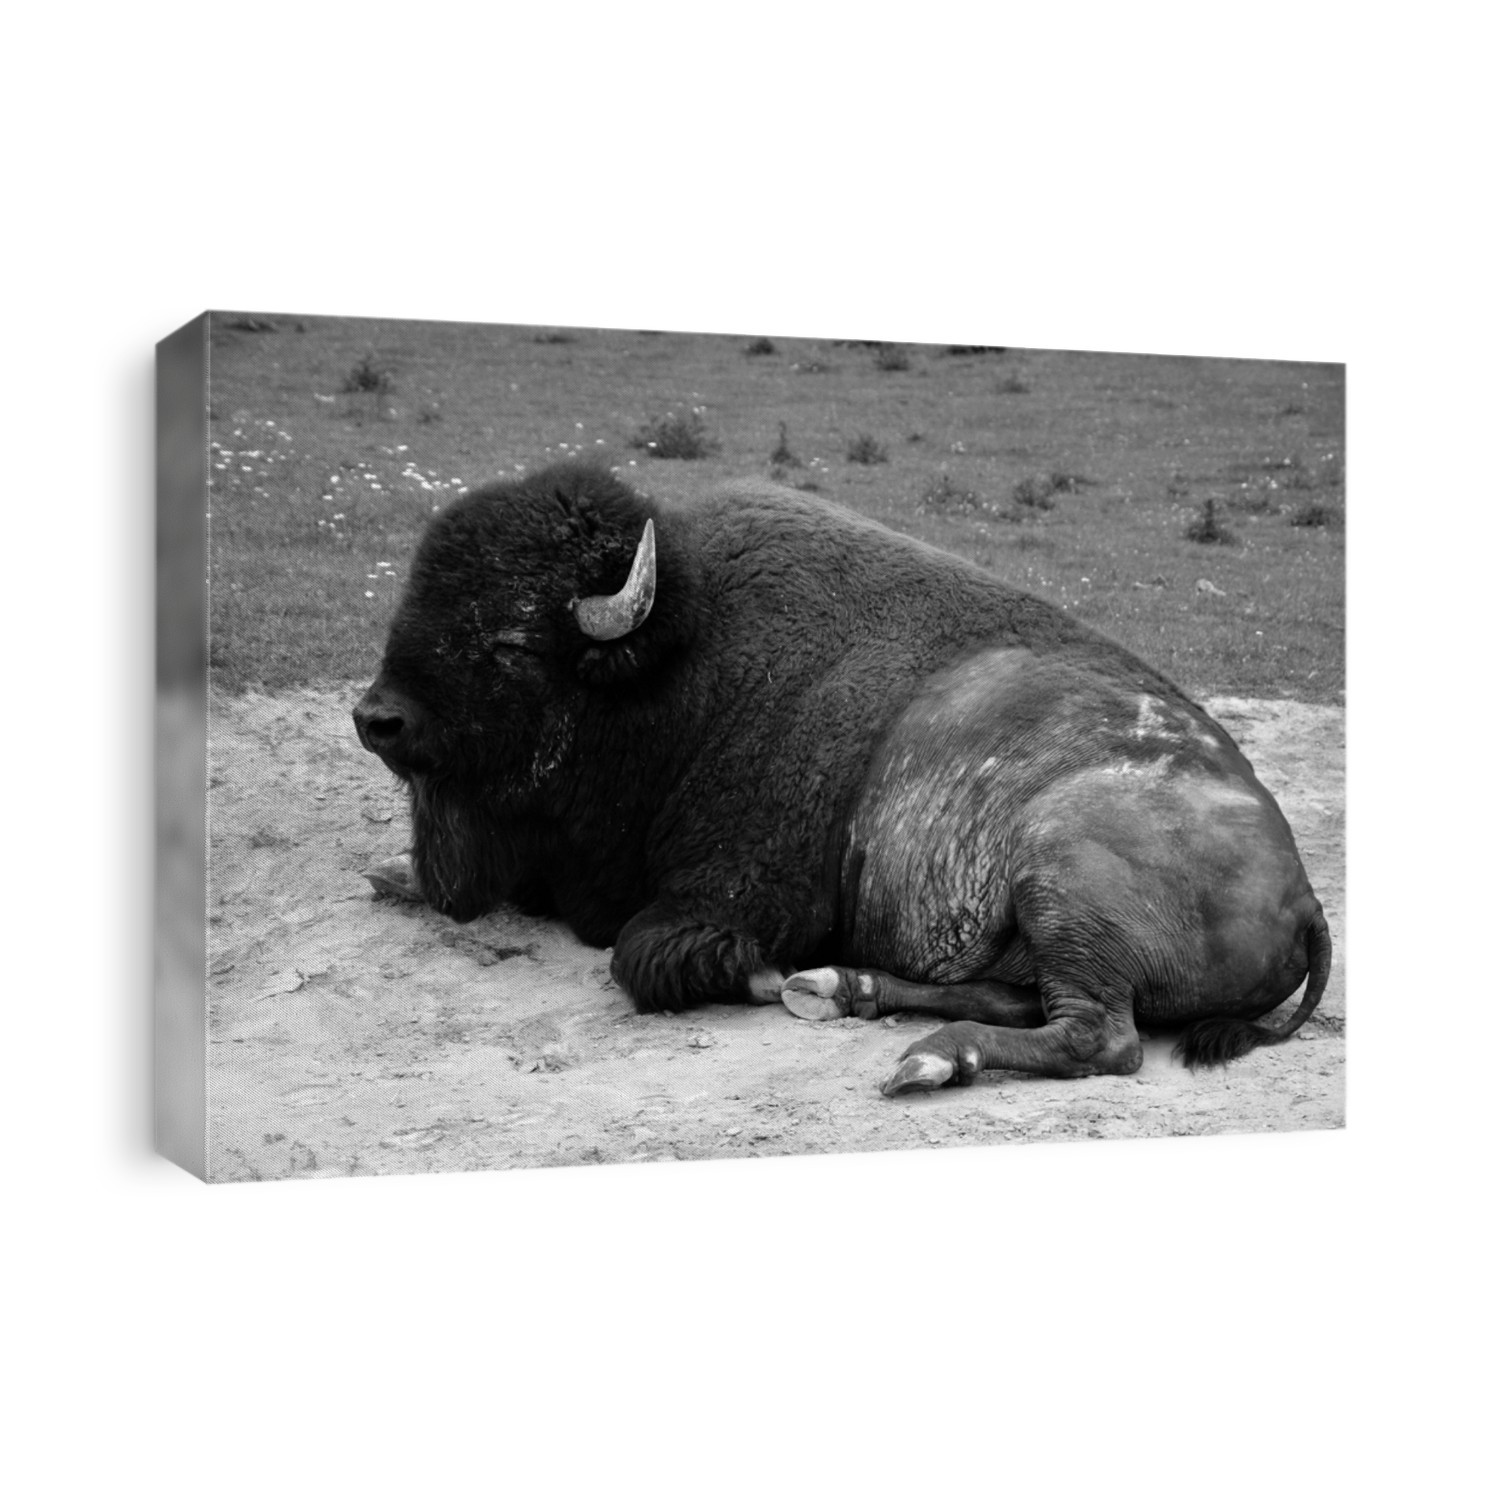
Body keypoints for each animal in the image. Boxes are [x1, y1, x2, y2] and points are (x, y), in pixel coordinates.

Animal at [354, 462, 1330, 1096]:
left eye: (510, 641)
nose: (377, 720)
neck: (678, 666)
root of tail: (1307, 896)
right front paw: (389, 873)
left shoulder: (730, 899)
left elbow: (650, 957)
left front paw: (761, 977)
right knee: (1023, 997)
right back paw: (842, 991)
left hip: (1062, 870)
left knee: (1102, 1037)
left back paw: (924, 1055)